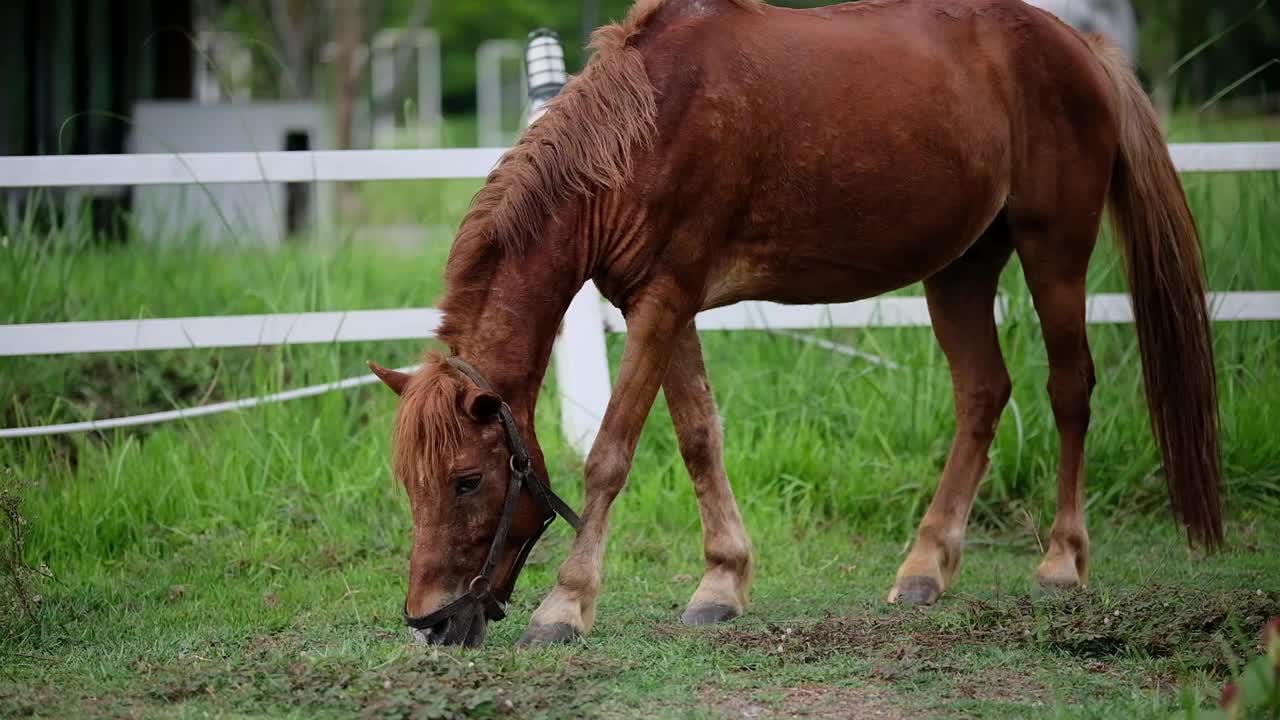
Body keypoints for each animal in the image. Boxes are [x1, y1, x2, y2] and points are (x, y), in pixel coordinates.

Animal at [368, 0, 1218, 645]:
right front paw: (721, 582)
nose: (427, 622)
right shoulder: (662, 304)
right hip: (961, 267)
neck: (643, 130)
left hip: (1054, 251)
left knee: (1070, 389)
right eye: (410, 482)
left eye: (468, 479)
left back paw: (1061, 563)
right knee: (982, 393)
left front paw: (566, 606)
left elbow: (611, 454)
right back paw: (925, 569)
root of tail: (1080, 45)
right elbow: (698, 437)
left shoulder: (664, 301)